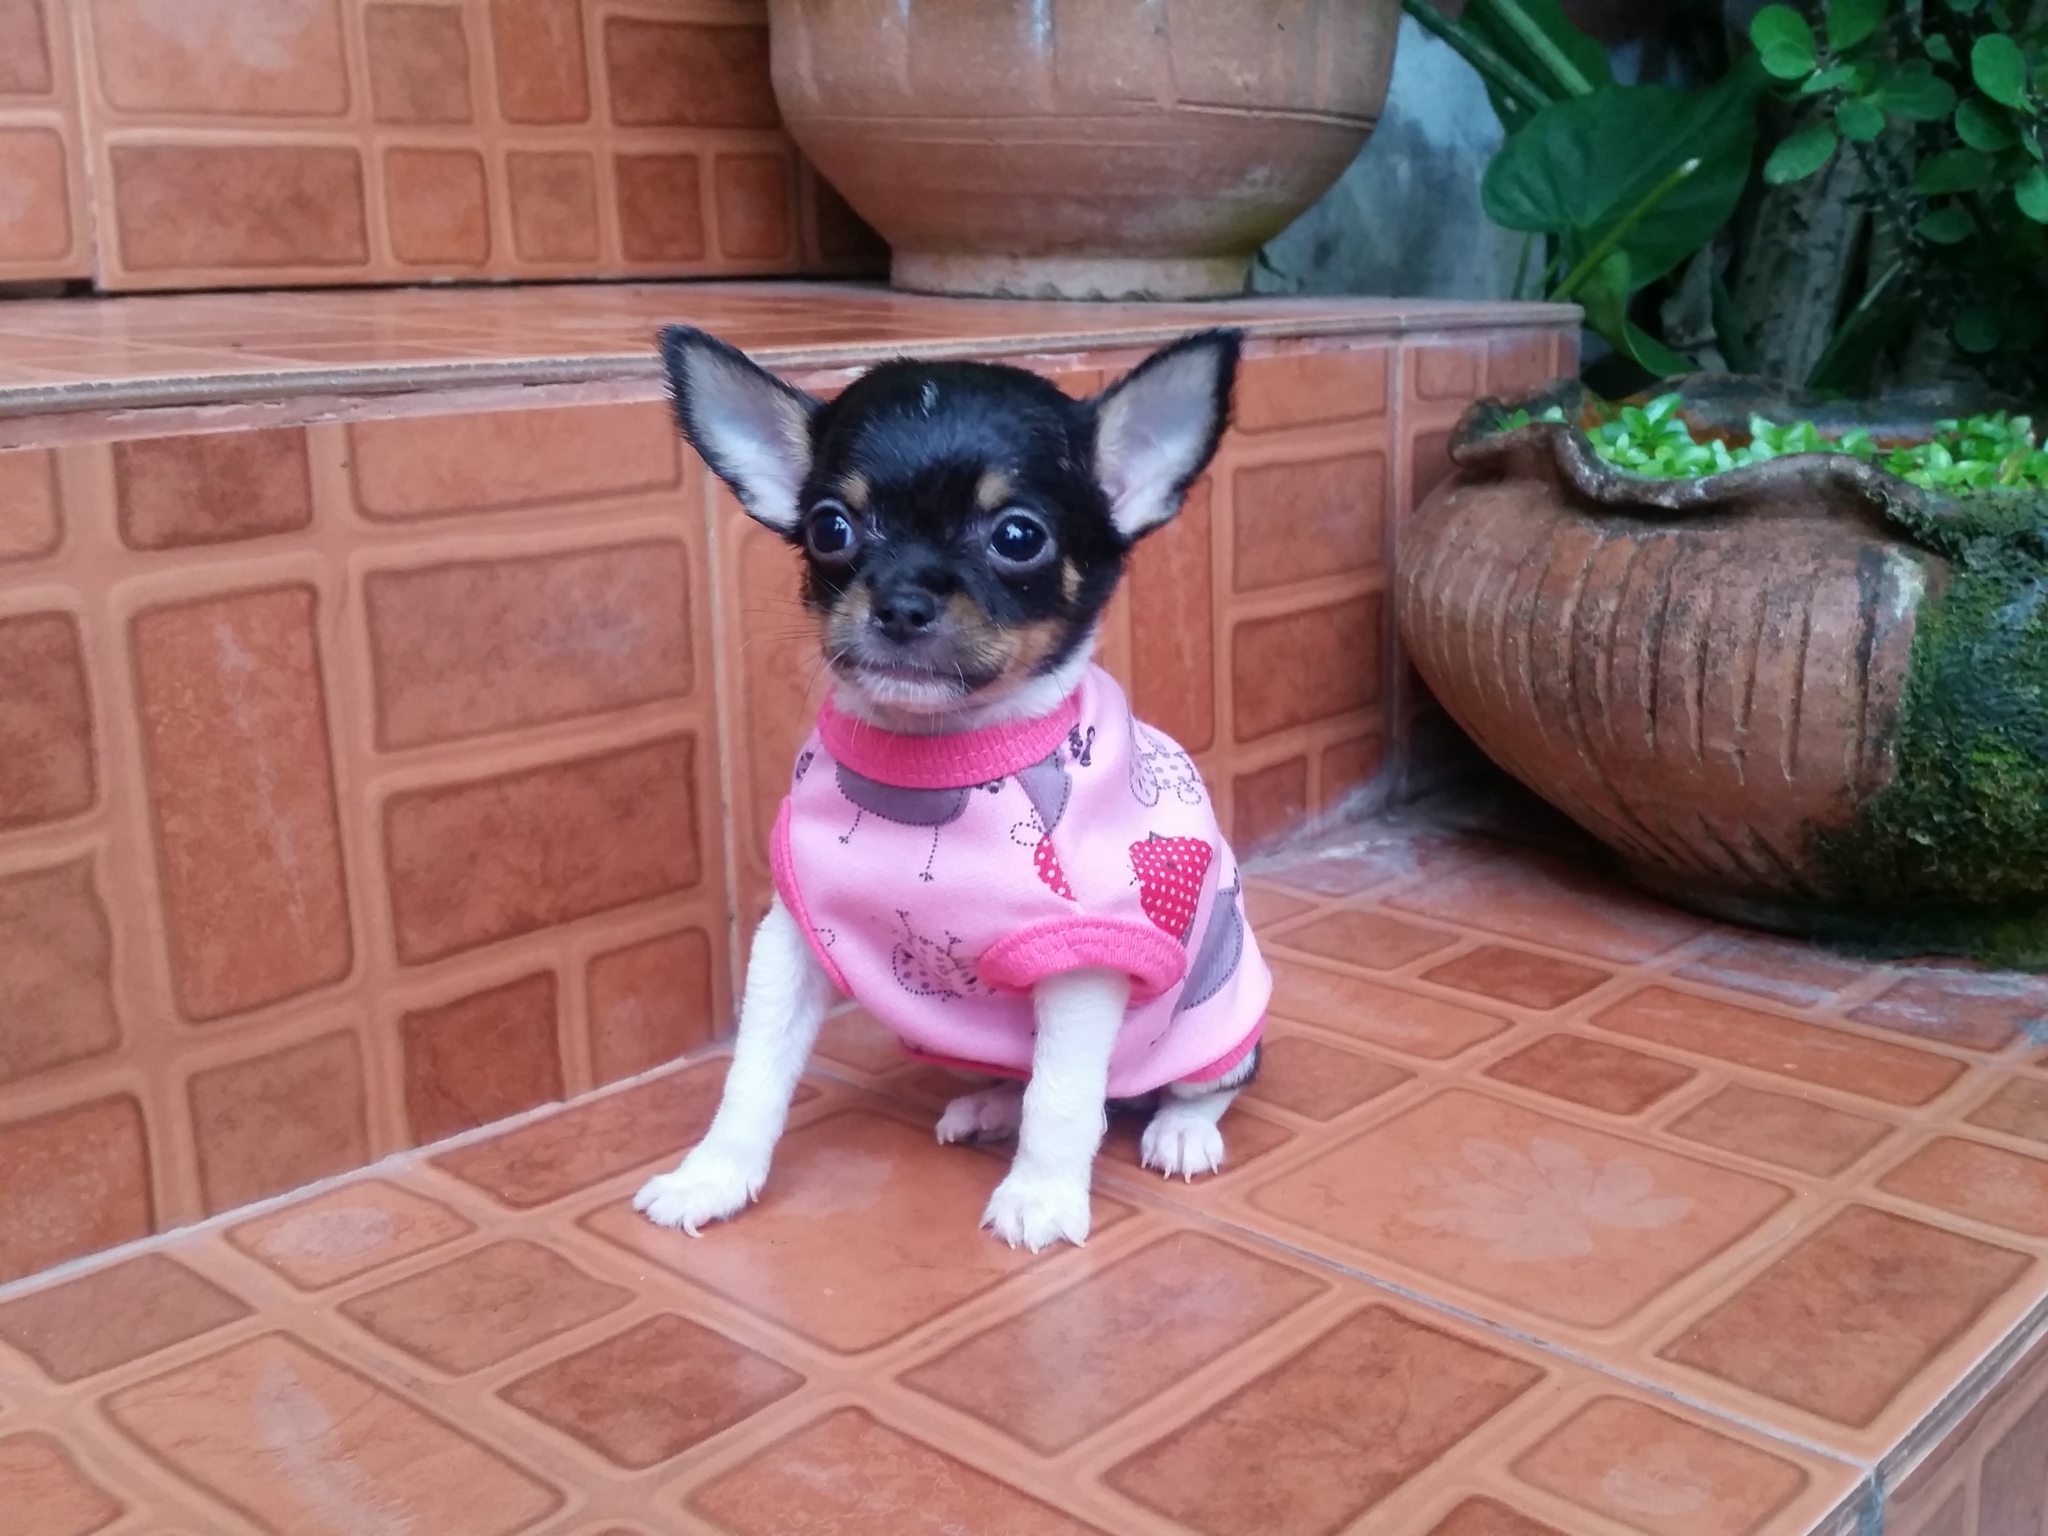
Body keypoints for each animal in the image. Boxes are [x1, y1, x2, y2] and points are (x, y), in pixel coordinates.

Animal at [633, 325, 1272, 1252]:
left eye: (1018, 536)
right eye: (830, 528)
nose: (901, 599)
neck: (936, 757)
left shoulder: (1084, 962)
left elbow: (1063, 1099)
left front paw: (1041, 1197)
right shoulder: (793, 939)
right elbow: (753, 1072)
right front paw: (712, 1175)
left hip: (1218, 1016)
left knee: (1199, 1083)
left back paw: (1181, 1129)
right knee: (1034, 1078)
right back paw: (990, 1104)